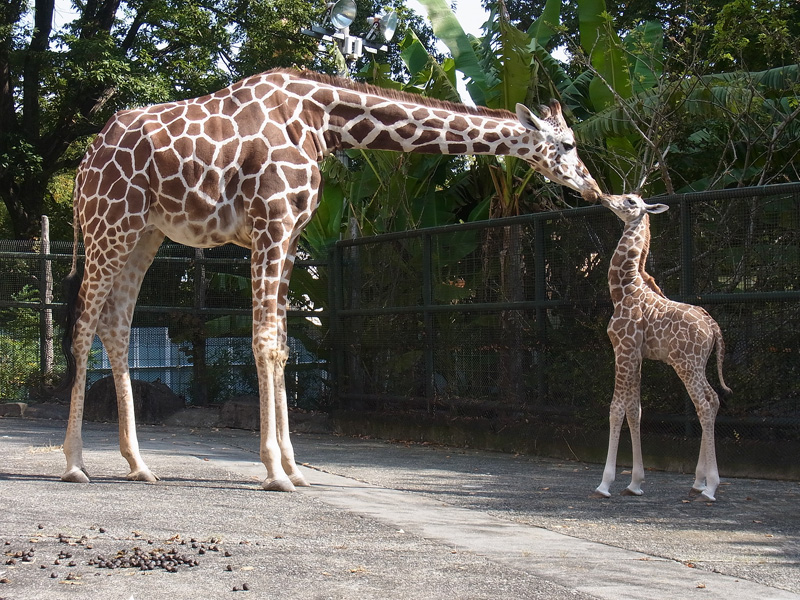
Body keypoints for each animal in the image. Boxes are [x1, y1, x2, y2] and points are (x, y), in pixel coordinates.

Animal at [62, 68, 600, 490]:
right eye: (568, 144)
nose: (593, 186)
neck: (322, 122)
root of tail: (83, 165)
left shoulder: (293, 235)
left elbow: (281, 345)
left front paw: (294, 468)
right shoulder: (271, 225)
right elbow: (263, 340)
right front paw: (274, 472)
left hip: (145, 233)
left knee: (116, 325)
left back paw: (138, 464)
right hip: (109, 225)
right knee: (84, 326)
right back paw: (74, 464)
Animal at [592, 193, 732, 502]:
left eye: (630, 201)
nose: (606, 198)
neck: (622, 290)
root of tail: (713, 327)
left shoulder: (623, 349)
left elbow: (616, 408)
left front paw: (604, 484)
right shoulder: (637, 355)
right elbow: (635, 409)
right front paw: (634, 483)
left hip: (686, 364)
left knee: (704, 405)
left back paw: (710, 488)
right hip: (698, 364)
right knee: (714, 399)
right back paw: (698, 482)